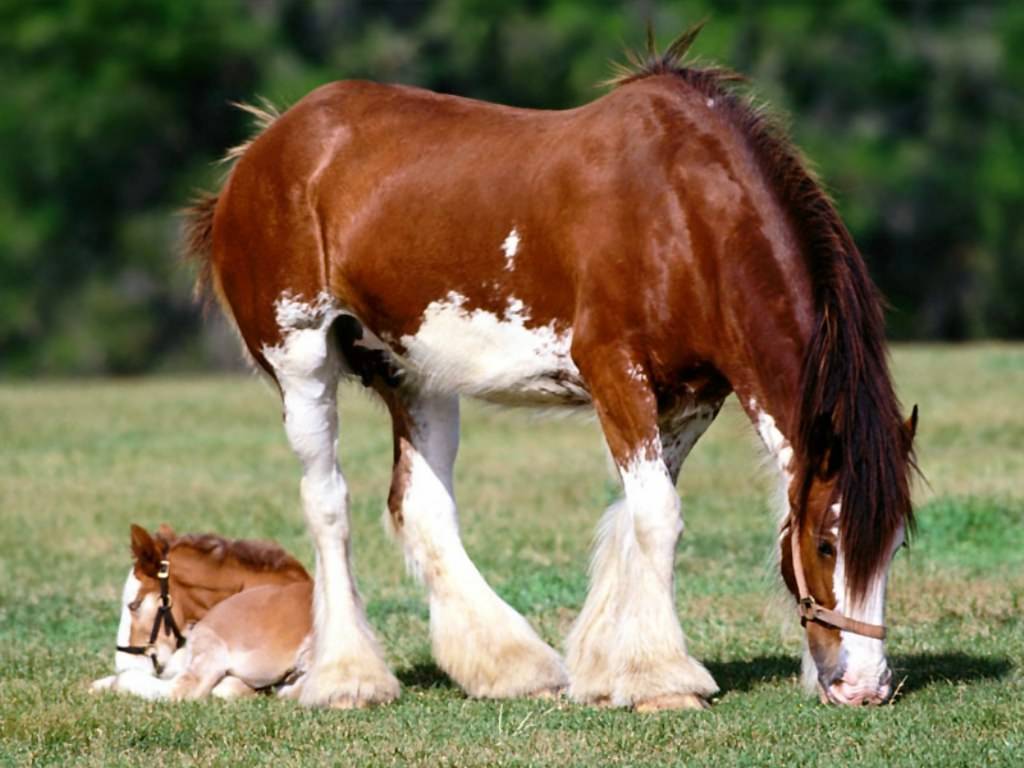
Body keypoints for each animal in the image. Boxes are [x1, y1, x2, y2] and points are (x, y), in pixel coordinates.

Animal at [182, 25, 917, 710]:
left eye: (894, 545)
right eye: (826, 543)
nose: (865, 685)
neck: (683, 212)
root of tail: (261, 151)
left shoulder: (692, 399)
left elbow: (634, 515)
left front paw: (606, 667)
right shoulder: (615, 370)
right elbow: (657, 516)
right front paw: (663, 679)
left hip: (416, 375)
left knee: (420, 507)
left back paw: (512, 666)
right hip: (302, 360)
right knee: (327, 501)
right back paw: (347, 678)